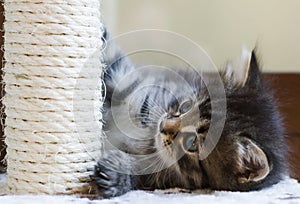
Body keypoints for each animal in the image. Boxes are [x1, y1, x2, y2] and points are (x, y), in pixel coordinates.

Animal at [91, 30, 288, 198]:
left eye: (192, 144)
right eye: (186, 106)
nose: (163, 126)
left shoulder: (160, 176)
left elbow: (140, 172)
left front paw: (117, 175)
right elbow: (111, 55)